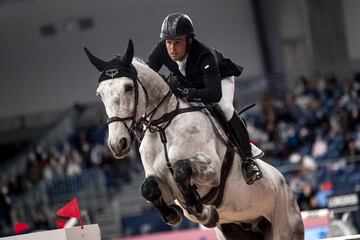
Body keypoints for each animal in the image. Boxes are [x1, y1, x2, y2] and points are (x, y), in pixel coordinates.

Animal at [85, 39, 304, 240]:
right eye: (99, 93)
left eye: (129, 87)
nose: (117, 144)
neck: (163, 126)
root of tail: (284, 182)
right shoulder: (164, 187)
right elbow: (148, 188)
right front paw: (172, 214)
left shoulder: (212, 171)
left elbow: (181, 170)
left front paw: (204, 212)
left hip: (284, 225)